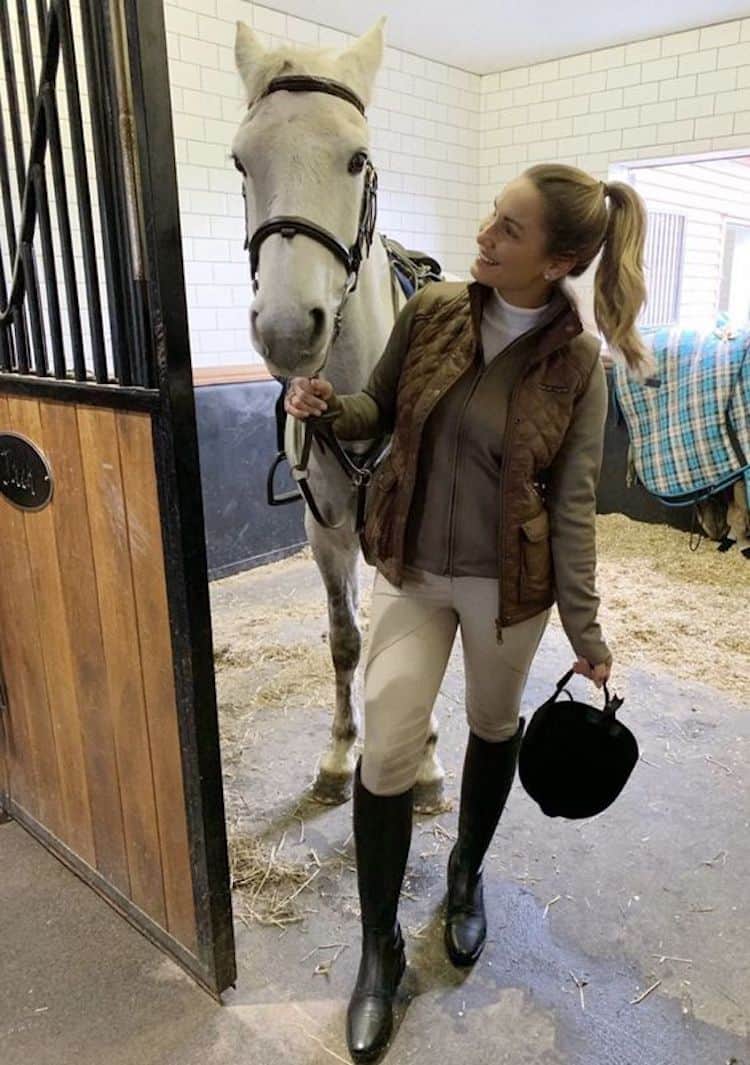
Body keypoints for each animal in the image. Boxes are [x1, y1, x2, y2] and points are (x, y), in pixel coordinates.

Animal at [230, 20, 445, 805]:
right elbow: (348, 638)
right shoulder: (324, 534)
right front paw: (340, 750)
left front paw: (424, 759)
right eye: (241, 160)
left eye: (357, 159)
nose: (289, 328)